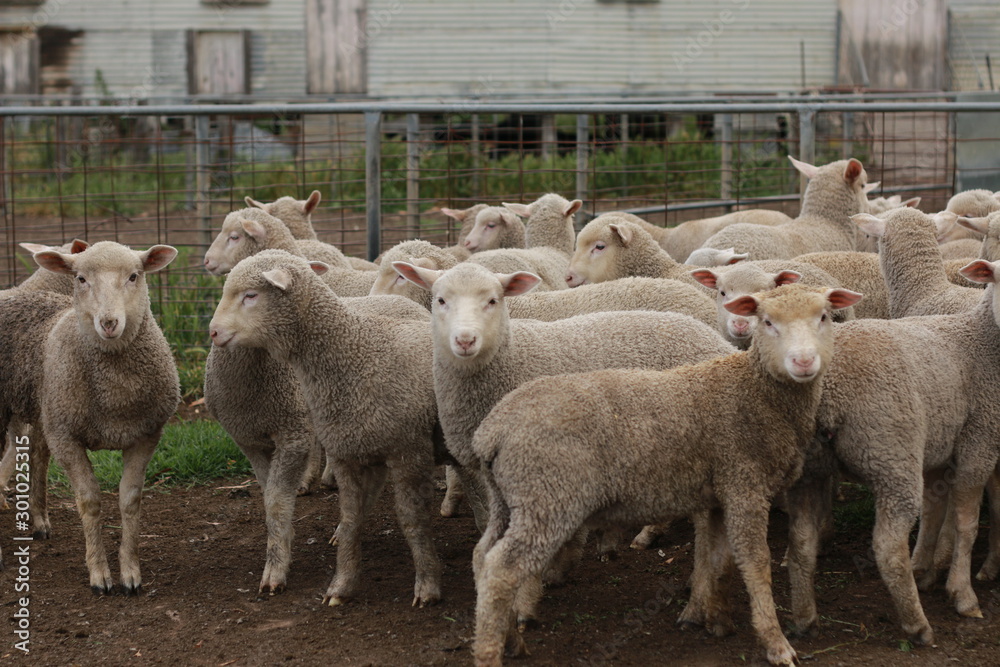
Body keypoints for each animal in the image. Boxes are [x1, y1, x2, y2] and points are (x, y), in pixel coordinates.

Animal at [0, 241, 180, 593]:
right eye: (81, 278)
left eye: (134, 276)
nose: (108, 322)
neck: (114, 396)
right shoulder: (66, 437)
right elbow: (89, 501)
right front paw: (99, 573)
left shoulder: (145, 435)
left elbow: (130, 500)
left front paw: (130, 573)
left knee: (36, 455)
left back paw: (39, 521)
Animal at [209, 250, 443, 608]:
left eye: (250, 295)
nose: (213, 332)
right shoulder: (251, 442)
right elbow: (270, 497)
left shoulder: (294, 434)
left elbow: (277, 501)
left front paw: (276, 570)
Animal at [468, 284, 862, 667]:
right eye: (767, 322)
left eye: (824, 317)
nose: (804, 361)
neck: (757, 392)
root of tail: (494, 429)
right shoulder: (744, 483)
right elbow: (755, 562)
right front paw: (775, 643)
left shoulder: (720, 492)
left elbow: (717, 559)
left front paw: (716, 620)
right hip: (547, 497)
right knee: (502, 571)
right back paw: (490, 654)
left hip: (509, 499)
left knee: (482, 557)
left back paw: (509, 640)